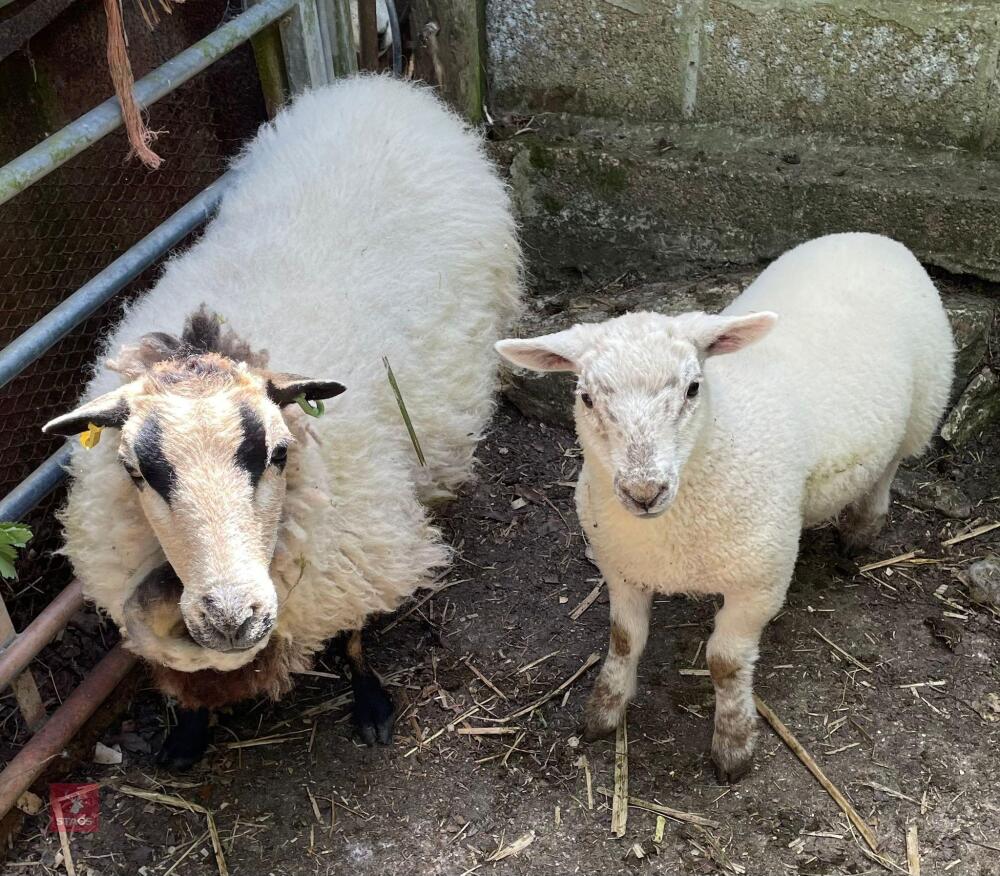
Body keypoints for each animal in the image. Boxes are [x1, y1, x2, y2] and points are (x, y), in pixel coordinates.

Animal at [42, 75, 522, 768]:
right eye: (136, 470)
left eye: (277, 453)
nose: (231, 617)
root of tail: (374, 85)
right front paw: (187, 734)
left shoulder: (352, 549)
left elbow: (351, 634)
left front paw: (370, 704)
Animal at [496, 233, 954, 782]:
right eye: (585, 397)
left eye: (693, 387)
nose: (644, 492)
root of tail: (869, 236)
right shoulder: (621, 568)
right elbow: (624, 640)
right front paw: (603, 712)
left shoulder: (759, 582)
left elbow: (725, 662)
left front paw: (734, 743)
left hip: (924, 405)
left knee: (888, 469)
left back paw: (861, 529)